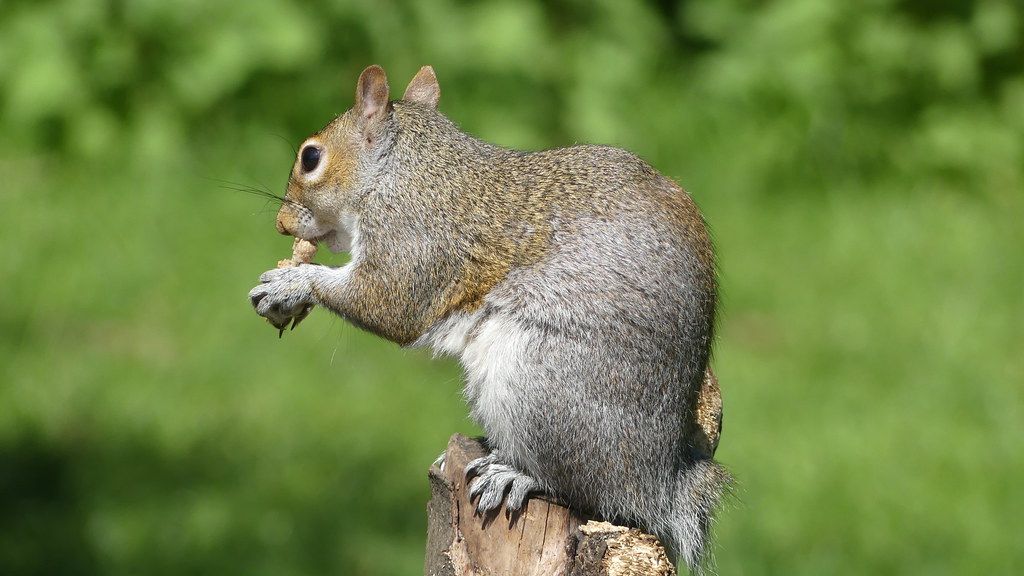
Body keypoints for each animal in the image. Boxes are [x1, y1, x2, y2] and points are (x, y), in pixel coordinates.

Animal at [248, 65, 730, 571]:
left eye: (311, 157)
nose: (281, 223)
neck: (403, 166)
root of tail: (657, 474)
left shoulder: (412, 236)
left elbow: (387, 304)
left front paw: (292, 283)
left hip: (540, 383)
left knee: (591, 488)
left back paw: (518, 475)